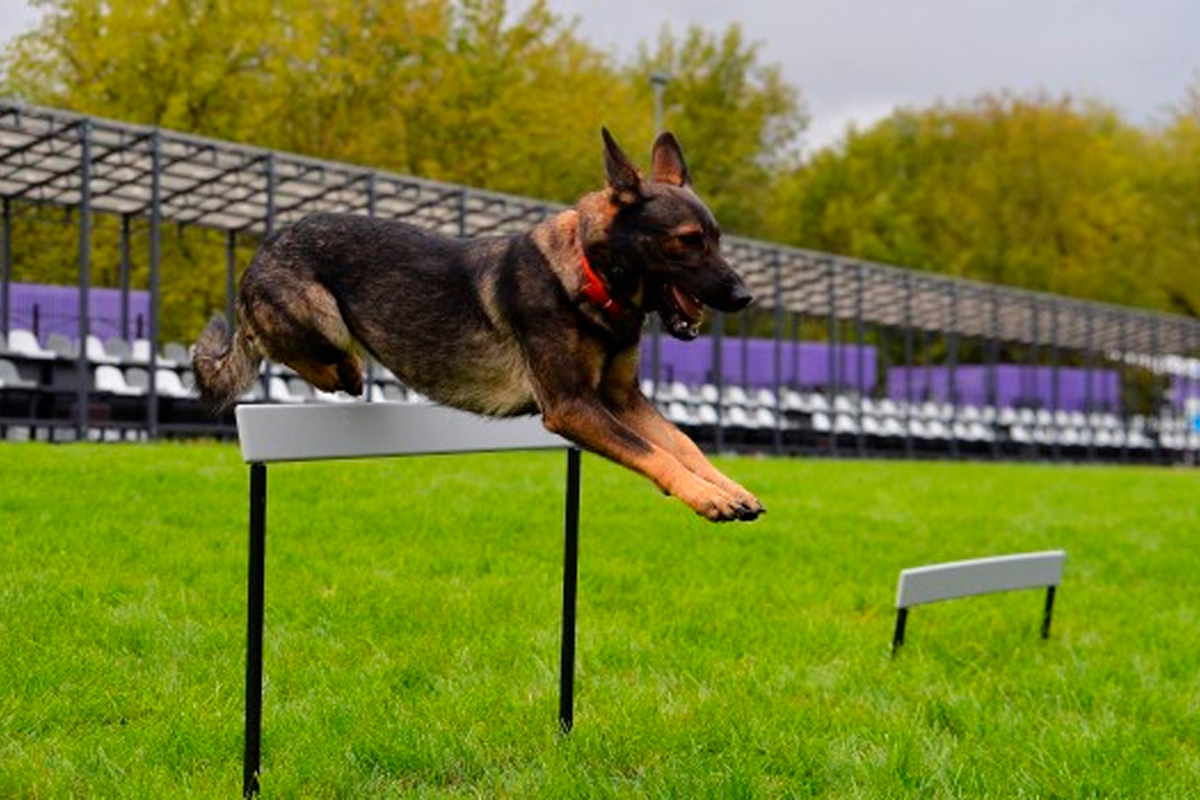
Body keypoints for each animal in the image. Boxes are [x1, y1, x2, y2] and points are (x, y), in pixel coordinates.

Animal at [192, 128, 763, 522]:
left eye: (716, 238)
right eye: (688, 241)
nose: (744, 296)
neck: (588, 274)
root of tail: (260, 254)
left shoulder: (622, 401)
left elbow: (682, 444)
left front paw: (727, 489)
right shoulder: (574, 407)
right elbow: (654, 453)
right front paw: (706, 498)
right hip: (320, 317)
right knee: (296, 350)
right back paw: (348, 370)